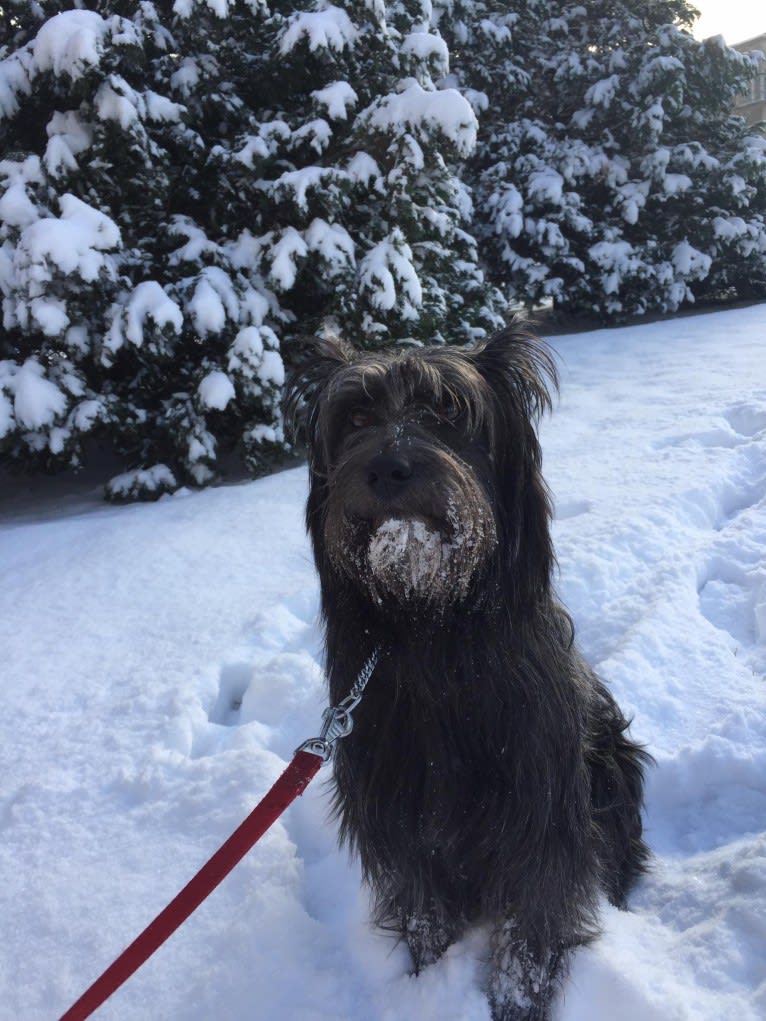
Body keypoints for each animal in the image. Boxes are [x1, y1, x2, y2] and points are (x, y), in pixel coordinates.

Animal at [285, 324, 649, 1021]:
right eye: (357, 418)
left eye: (448, 410)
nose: (388, 468)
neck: (432, 624)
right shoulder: (395, 799)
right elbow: (423, 901)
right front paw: (428, 976)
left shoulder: (540, 798)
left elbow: (535, 911)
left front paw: (519, 999)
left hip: (613, 761)